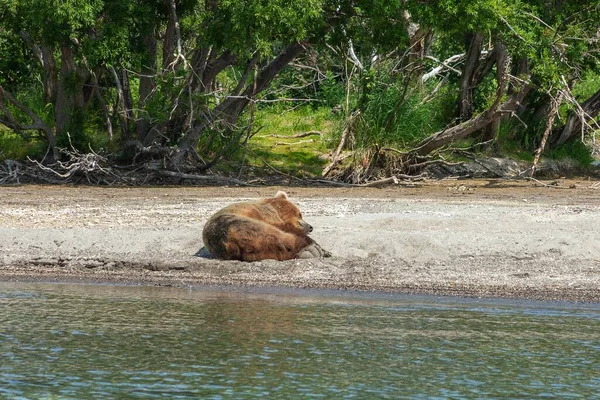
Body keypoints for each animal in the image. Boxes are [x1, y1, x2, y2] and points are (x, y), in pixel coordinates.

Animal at [203, 191, 332, 262]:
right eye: (300, 214)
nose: (310, 227)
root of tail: (231, 242)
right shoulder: (266, 216)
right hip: (248, 227)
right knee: (282, 238)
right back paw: (314, 249)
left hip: (255, 252)